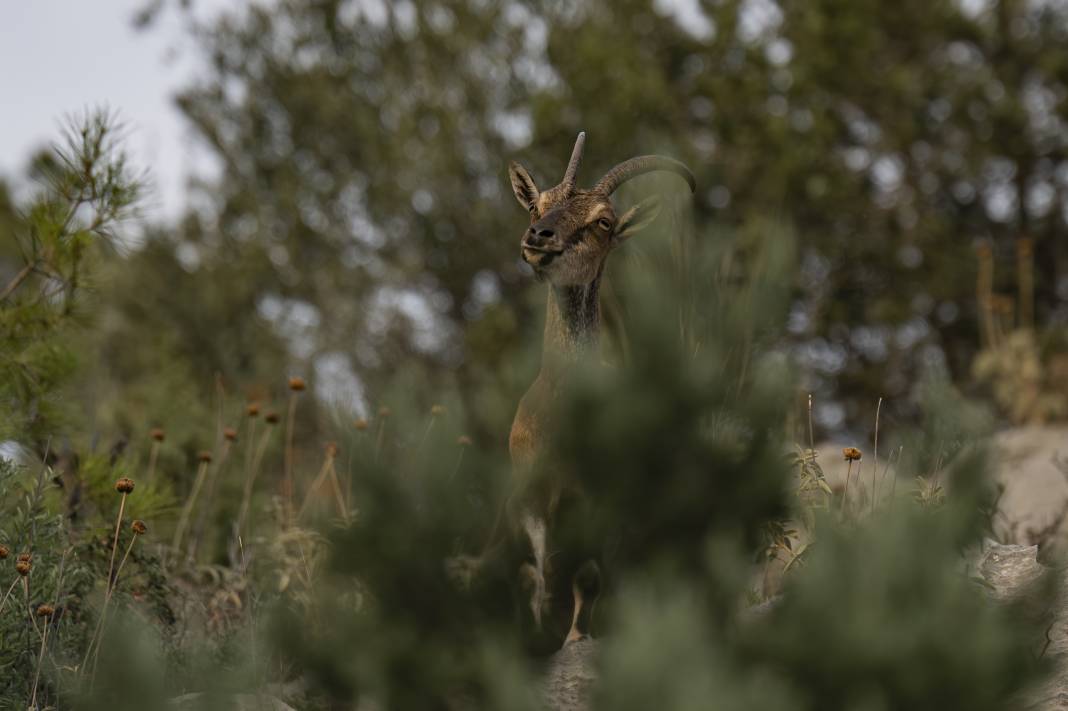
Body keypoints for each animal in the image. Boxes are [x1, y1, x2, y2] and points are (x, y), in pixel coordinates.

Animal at [504, 134, 696, 649]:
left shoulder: (606, 502)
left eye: (603, 222)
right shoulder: (532, 497)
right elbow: (541, 574)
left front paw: (575, 639)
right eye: (538, 204)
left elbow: (589, 578)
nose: (538, 237)